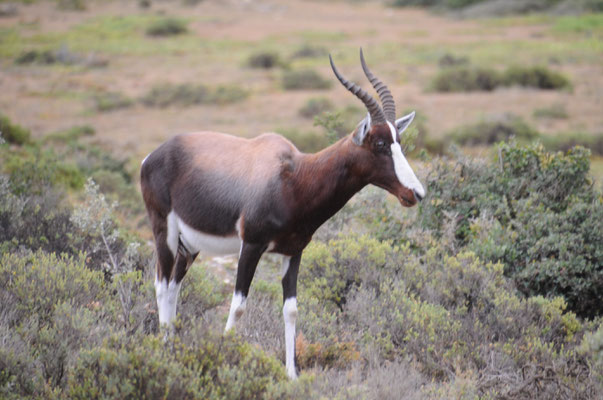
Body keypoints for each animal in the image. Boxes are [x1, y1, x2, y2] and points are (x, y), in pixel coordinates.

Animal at [140, 49, 424, 378]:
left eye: (399, 142)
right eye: (379, 143)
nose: (416, 193)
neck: (293, 177)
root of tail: (152, 156)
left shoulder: (293, 252)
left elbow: (291, 309)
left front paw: (292, 375)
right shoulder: (251, 246)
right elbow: (238, 305)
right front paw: (224, 357)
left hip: (190, 246)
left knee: (174, 287)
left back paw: (173, 347)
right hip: (165, 233)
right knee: (161, 285)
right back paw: (164, 351)